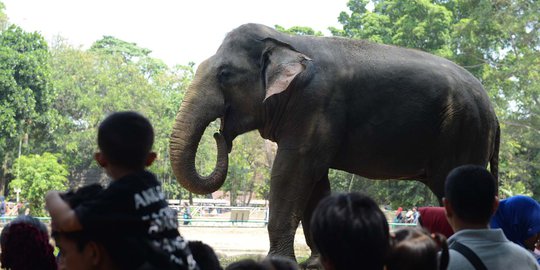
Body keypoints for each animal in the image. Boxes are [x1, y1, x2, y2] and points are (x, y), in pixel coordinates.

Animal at [170, 23, 502, 268]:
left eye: (224, 74)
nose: (220, 135)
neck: (288, 42)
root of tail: (494, 112)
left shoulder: (314, 103)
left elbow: (293, 171)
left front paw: (279, 263)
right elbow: (315, 180)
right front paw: (316, 263)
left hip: (464, 133)